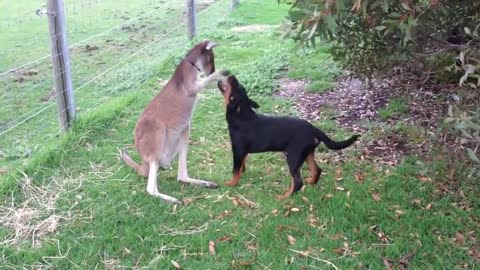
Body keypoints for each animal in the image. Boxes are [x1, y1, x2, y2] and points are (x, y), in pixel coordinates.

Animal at [218, 75, 360, 199]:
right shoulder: (243, 152)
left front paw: (231, 183)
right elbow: (241, 165)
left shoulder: (238, 150)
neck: (241, 115)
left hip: (293, 156)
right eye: (239, 86)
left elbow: (235, 169)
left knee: (297, 181)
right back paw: (311, 182)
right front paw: (242, 174)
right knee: (317, 170)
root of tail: (313, 129)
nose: (232, 76)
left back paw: (284, 197)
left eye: (235, 86)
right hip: (306, 153)